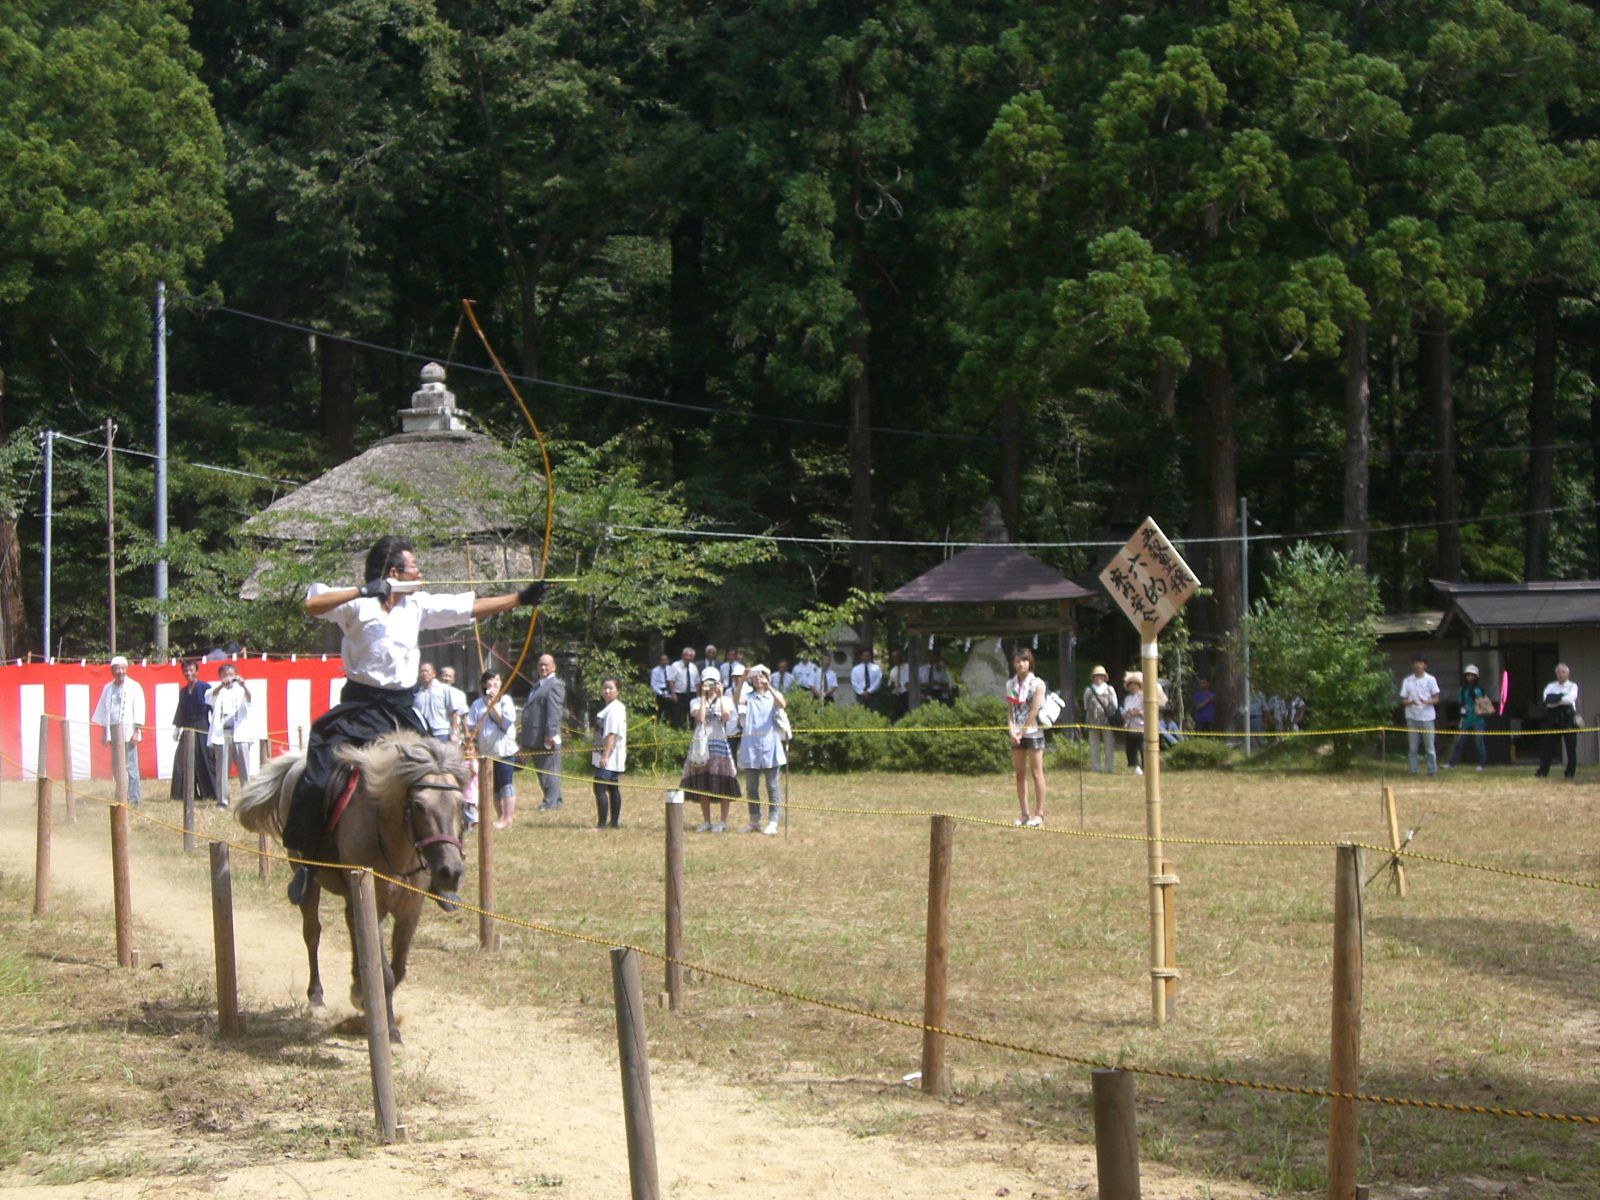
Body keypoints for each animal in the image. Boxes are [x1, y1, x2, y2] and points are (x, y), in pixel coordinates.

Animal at [233, 732, 467, 1043]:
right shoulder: (374, 904)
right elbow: (385, 972)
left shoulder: (409, 910)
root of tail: (296, 764)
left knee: (352, 928)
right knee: (312, 933)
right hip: (309, 879)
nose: (450, 872)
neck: (395, 843)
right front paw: (388, 1029)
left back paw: (357, 985)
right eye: (419, 805)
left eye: (461, 804)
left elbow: (397, 968)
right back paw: (316, 997)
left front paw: (366, 1000)